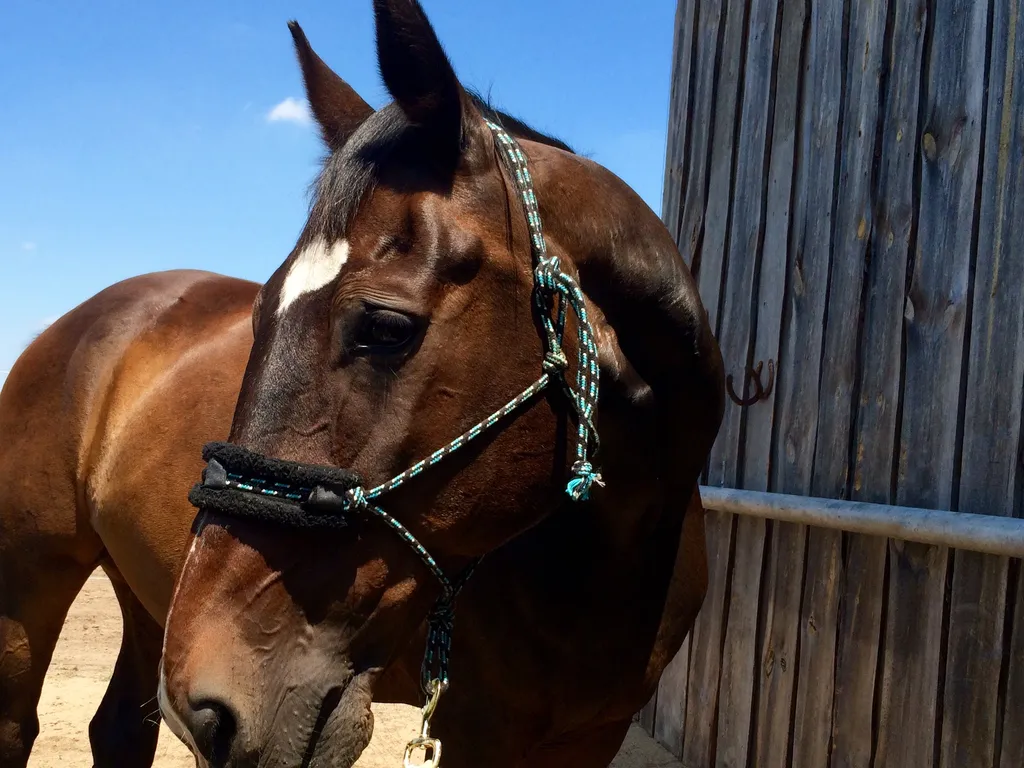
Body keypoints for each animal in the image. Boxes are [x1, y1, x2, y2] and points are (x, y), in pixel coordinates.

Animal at [0, 1, 725, 766]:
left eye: (385, 325)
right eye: (258, 313)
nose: (209, 703)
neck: (605, 568)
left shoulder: (589, 736)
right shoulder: (476, 730)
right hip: (30, 588)